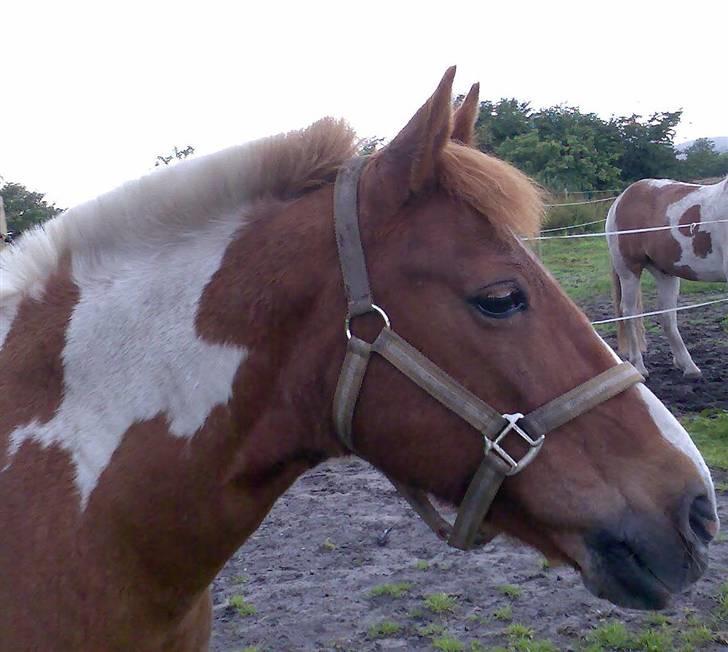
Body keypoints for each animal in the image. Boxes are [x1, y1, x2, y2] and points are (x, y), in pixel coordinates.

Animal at [608, 176, 728, 376]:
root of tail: (621, 199)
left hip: (665, 273)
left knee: (667, 316)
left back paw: (689, 367)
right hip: (629, 271)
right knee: (629, 312)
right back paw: (639, 367)